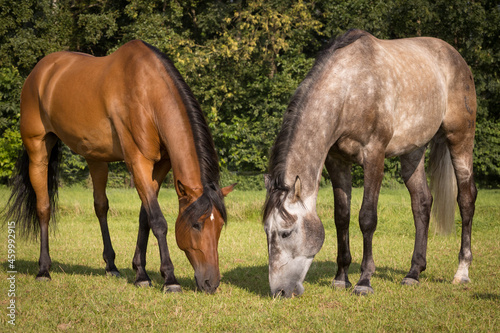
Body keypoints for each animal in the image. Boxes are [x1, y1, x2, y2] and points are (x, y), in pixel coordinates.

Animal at [3, 40, 234, 294]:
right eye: (196, 225)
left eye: (220, 225)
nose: (211, 283)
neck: (147, 93)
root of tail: (40, 71)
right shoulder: (137, 161)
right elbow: (158, 221)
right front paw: (169, 279)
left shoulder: (161, 165)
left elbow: (145, 217)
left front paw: (140, 272)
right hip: (37, 150)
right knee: (44, 207)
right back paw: (44, 269)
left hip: (95, 157)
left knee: (100, 206)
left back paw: (111, 266)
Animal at [262, 29, 476, 296]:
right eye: (266, 232)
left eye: (286, 233)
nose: (279, 291)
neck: (350, 89)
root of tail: (456, 57)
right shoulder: (337, 161)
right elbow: (341, 217)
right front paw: (341, 277)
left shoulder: (374, 156)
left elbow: (367, 218)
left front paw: (364, 280)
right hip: (413, 152)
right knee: (422, 203)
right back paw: (413, 273)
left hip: (461, 139)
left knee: (466, 199)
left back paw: (462, 272)